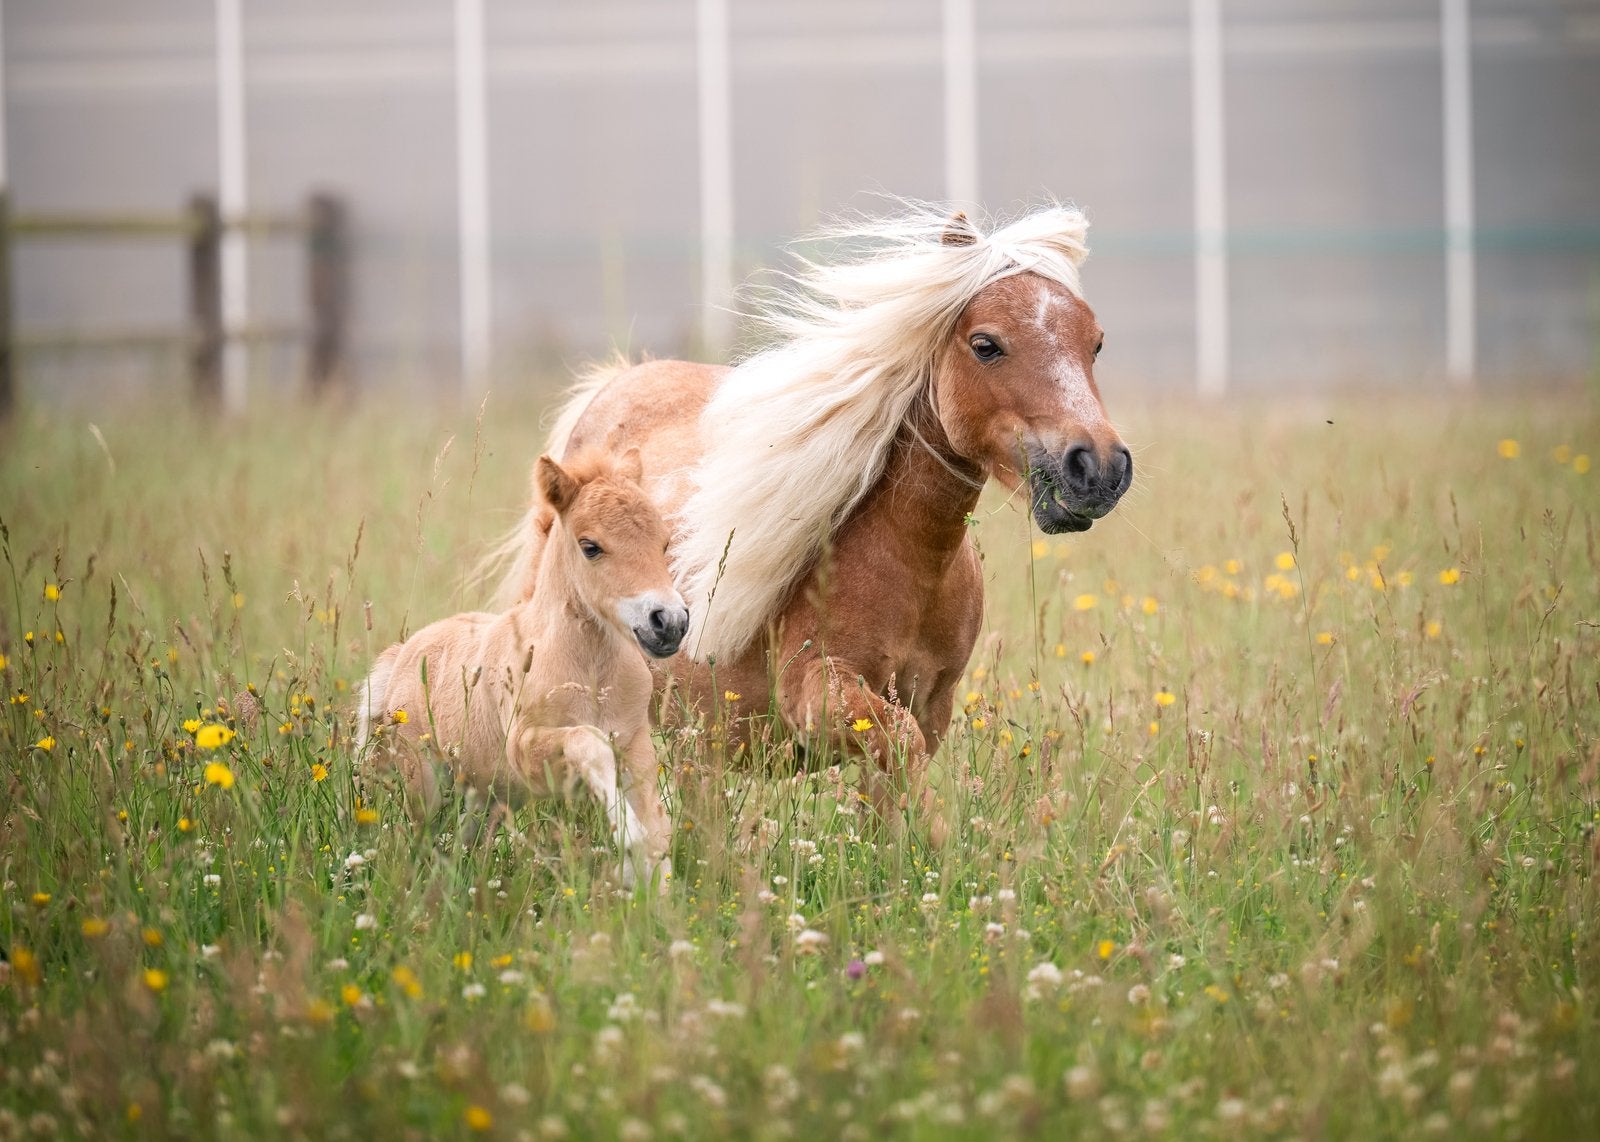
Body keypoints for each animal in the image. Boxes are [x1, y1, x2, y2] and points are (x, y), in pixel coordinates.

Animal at [358, 449, 688, 889]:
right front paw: (627, 843)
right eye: (591, 547)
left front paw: (652, 884)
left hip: (485, 795)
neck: (591, 674)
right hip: (424, 785)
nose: (670, 622)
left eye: (664, 542)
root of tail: (404, 653)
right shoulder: (525, 749)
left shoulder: (636, 746)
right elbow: (588, 742)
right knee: (420, 841)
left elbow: (657, 827)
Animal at [493, 205, 1131, 840]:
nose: (1098, 467)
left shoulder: (931, 703)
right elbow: (902, 752)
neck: (909, 559)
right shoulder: (818, 696)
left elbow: (892, 789)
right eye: (986, 344)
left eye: (1097, 344)